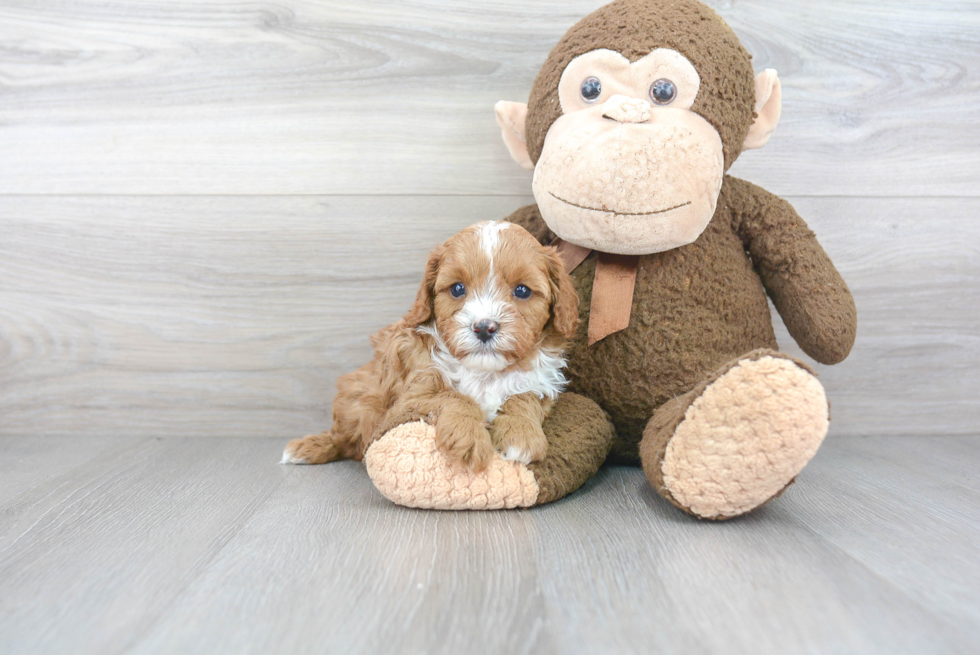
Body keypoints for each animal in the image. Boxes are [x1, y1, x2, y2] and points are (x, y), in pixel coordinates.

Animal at [280, 223, 580, 474]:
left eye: (522, 291)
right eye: (457, 289)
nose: (485, 327)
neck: (484, 373)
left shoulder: (542, 384)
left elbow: (523, 396)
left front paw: (521, 435)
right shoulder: (408, 399)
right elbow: (452, 396)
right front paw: (468, 438)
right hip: (355, 398)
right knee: (343, 439)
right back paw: (308, 448)